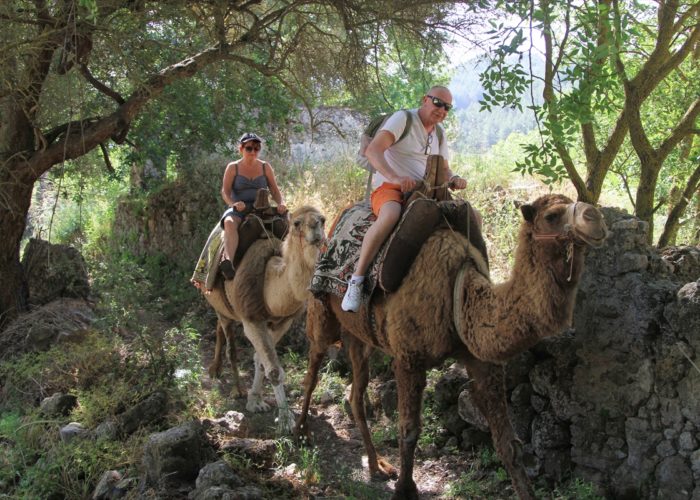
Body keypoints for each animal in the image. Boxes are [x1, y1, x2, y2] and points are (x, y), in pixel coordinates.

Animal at [201, 205, 324, 432]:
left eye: (323, 219)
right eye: (296, 223)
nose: (315, 229)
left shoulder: (282, 321)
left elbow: (260, 360)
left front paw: (256, 400)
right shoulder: (251, 320)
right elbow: (274, 370)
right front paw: (285, 420)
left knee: (220, 327)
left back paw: (218, 370)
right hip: (217, 301)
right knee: (229, 340)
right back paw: (232, 385)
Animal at [294, 195, 608, 500]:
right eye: (552, 215)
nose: (596, 218)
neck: (459, 289)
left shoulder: (481, 359)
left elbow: (509, 445)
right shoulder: (408, 358)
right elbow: (409, 430)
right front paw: (405, 490)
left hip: (359, 337)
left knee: (356, 394)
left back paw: (377, 465)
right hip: (322, 313)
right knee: (313, 369)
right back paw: (299, 432)